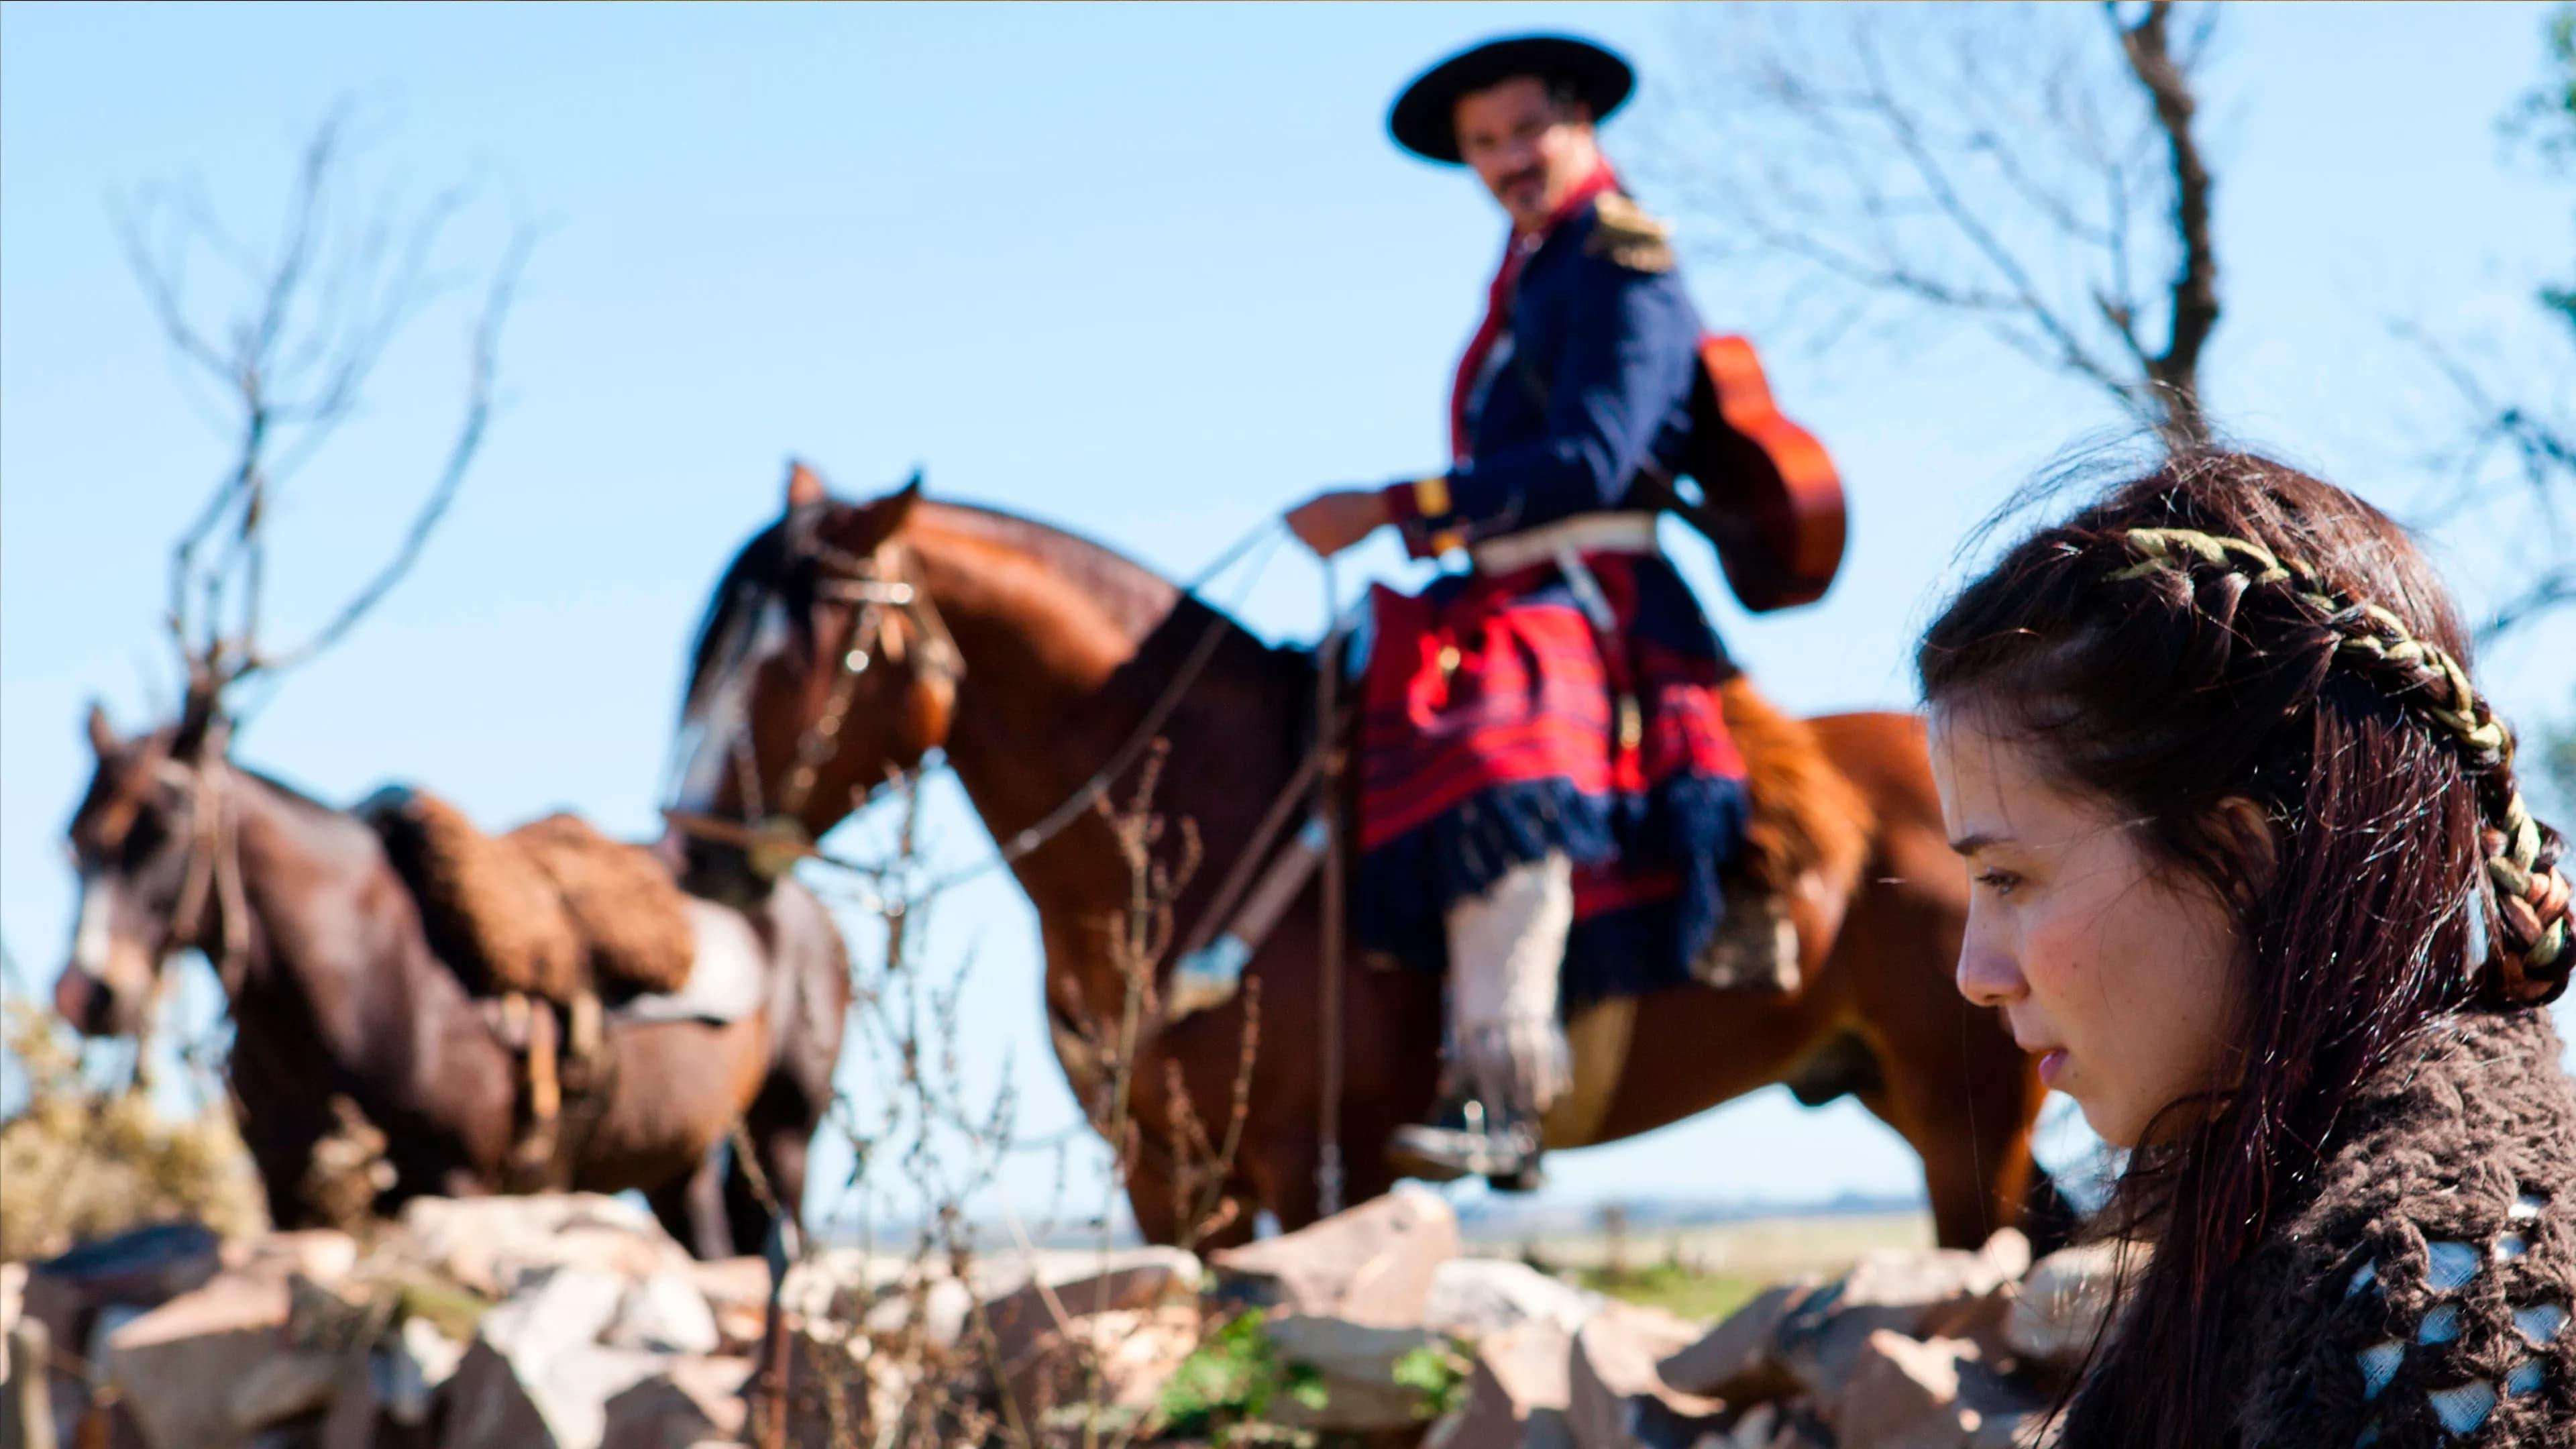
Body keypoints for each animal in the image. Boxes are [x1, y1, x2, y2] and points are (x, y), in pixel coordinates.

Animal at [52, 701, 855, 1252]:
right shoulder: (286, 1195)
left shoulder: (459, 1184)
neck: (356, 976)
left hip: (784, 1137)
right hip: (674, 1164)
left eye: (164, 830)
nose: (86, 993)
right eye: (74, 843)